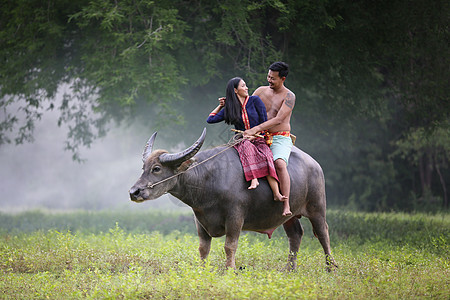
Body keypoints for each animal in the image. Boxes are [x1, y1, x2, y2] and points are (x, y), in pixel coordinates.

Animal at [130, 129, 338, 272]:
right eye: (144, 167)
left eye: (157, 168)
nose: (134, 192)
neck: (208, 179)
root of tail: (315, 164)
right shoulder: (199, 219)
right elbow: (203, 248)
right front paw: (202, 270)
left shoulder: (235, 216)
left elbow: (229, 246)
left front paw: (230, 270)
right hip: (289, 214)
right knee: (295, 234)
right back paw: (290, 269)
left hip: (317, 207)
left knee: (323, 233)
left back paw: (330, 268)